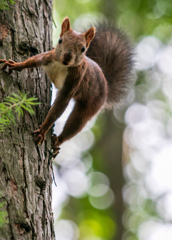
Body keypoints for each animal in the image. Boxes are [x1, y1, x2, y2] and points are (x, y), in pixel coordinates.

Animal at [0, 16, 133, 156]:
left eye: (83, 49)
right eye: (60, 40)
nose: (68, 55)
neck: (62, 65)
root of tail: (106, 86)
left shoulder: (74, 82)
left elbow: (59, 107)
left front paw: (43, 130)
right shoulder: (48, 57)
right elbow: (31, 61)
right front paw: (15, 65)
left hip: (91, 104)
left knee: (76, 123)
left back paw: (58, 141)